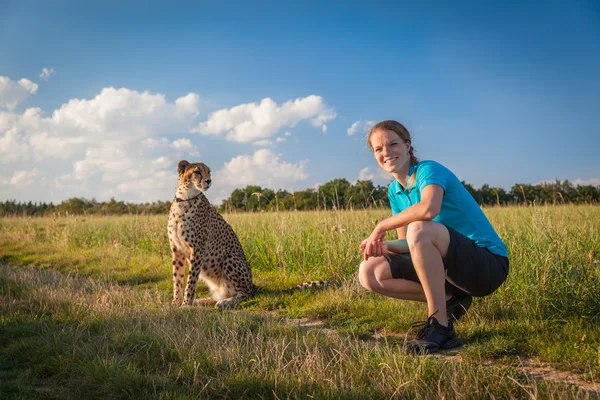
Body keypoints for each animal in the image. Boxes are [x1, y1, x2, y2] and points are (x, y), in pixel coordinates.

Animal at [168, 160, 328, 310]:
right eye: (197, 172)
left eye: (209, 172)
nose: (209, 181)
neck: (185, 199)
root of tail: (253, 283)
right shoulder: (177, 249)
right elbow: (177, 279)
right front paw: (176, 303)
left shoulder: (197, 249)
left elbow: (191, 280)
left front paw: (186, 304)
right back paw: (201, 301)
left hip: (231, 258)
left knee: (246, 293)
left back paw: (225, 302)